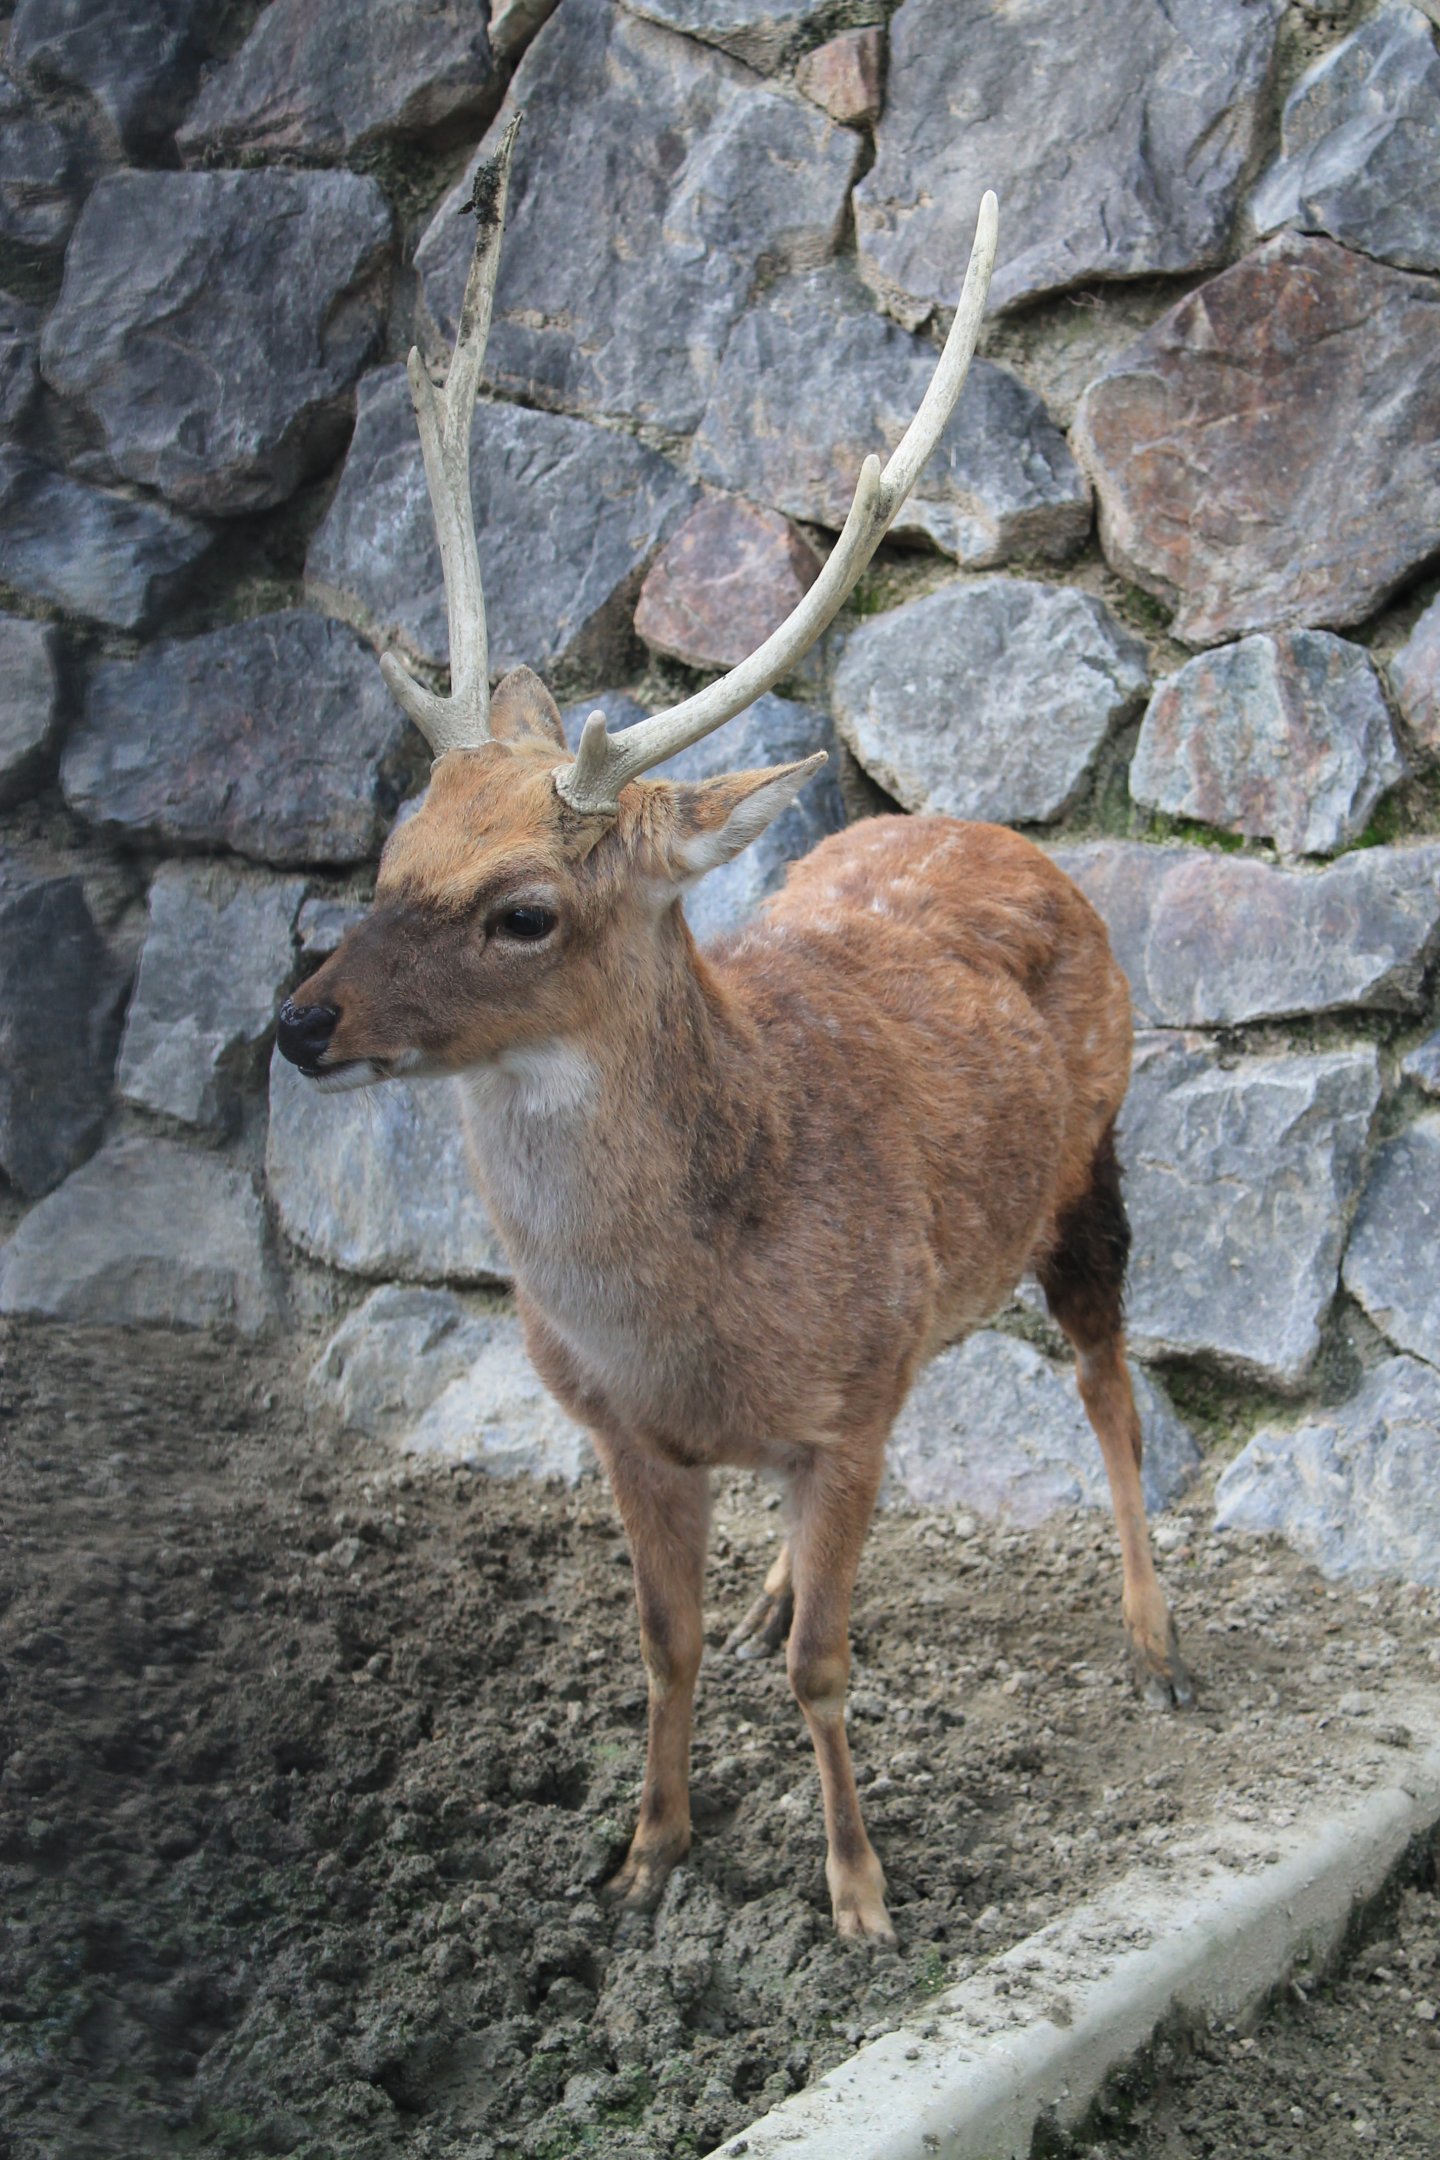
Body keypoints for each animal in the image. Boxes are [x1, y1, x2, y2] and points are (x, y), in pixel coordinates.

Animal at [275, 116, 1194, 1947]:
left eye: (522, 910)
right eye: (391, 851)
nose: (297, 1018)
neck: (688, 1325)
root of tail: (995, 831)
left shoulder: (842, 1411)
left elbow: (832, 1673)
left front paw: (859, 1901)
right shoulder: (625, 1430)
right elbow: (665, 1644)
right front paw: (645, 1861)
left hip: (1097, 1155)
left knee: (1112, 1383)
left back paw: (1157, 1647)